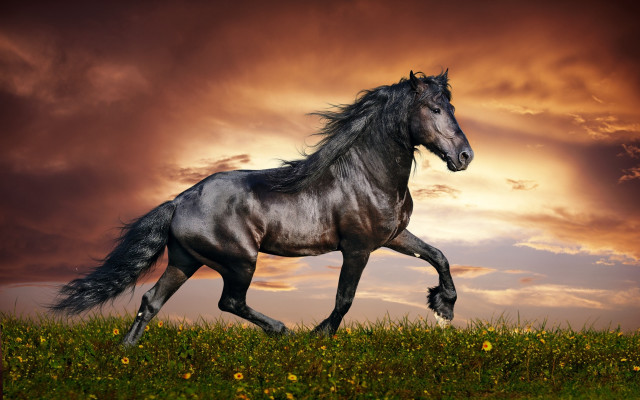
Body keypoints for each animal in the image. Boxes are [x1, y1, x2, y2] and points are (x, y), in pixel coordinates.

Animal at [50, 70, 473, 345]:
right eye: (434, 109)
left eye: (451, 107)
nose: (465, 156)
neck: (367, 174)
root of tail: (178, 201)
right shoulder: (358, 248)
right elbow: (345, 298)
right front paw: (319, 336)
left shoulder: (393, 236)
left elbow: (438, 255)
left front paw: (444, 307)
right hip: (240, 260)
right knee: (229, 301)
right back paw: (281, 330)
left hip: (185, 260)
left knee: (151, 301)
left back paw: (125, 355)